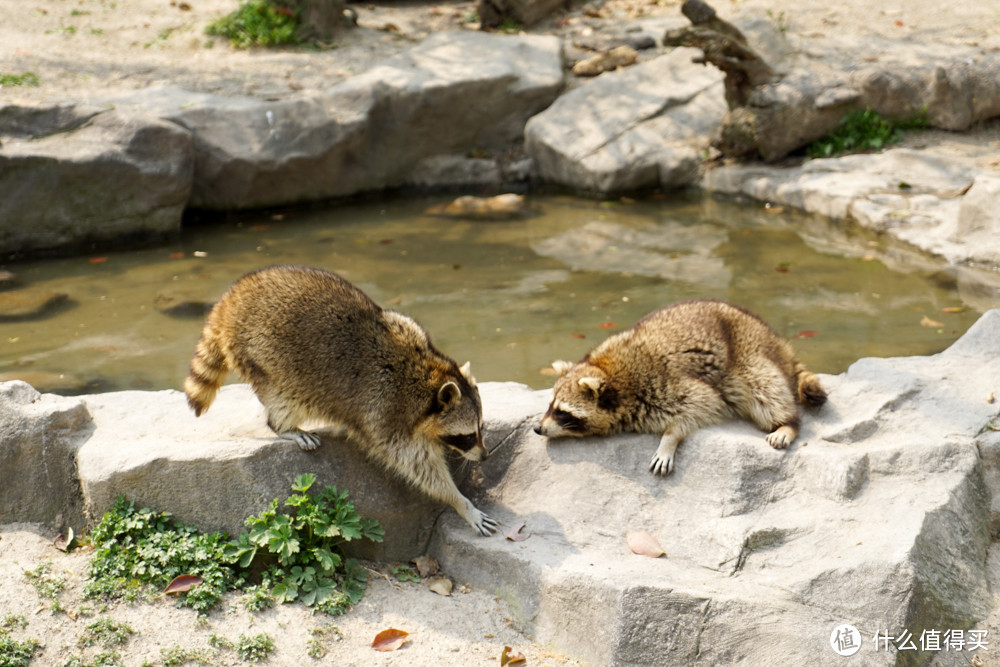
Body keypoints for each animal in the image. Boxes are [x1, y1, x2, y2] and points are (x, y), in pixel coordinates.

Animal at [184, 264, 500, 536]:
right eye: (466, 436)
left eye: (480, 429)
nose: (485, 456)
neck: (427, 376)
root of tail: (230, 300)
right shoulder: (384, 413)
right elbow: (418, 467)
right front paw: (460, 502)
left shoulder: (408, 327)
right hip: (267, 358)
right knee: (285, 399)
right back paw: (284, 426)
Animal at [536, 300, 824, 478]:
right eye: (550, 406)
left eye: (562, 412)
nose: (537, 428)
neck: (610, 372)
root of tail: (774, 338)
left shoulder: (664, 382)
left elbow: (703, 404)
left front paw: (669, 438)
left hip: (748, 355)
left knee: (763, 389)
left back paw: (788, 423)